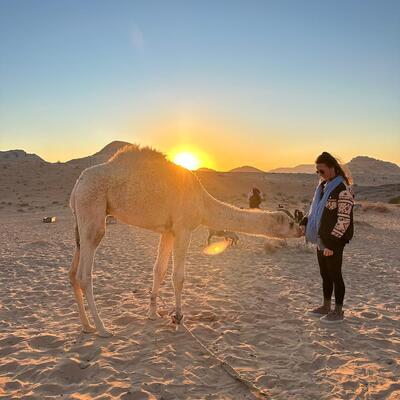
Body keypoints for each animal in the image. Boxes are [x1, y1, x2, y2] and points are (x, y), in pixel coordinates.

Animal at [69, 144, 301, 337]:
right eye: (290, 223)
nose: (300, 230)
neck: (203, 203)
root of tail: (77, 185)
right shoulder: (183, 228)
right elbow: (178, 276)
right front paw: (179, 317)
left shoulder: (168, 231)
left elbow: (159, 269)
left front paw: (152, 314)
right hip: (92, 208)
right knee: (84, 274)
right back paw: (102, 328)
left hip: (80, 218)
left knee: (72, 273)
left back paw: (86, 326)